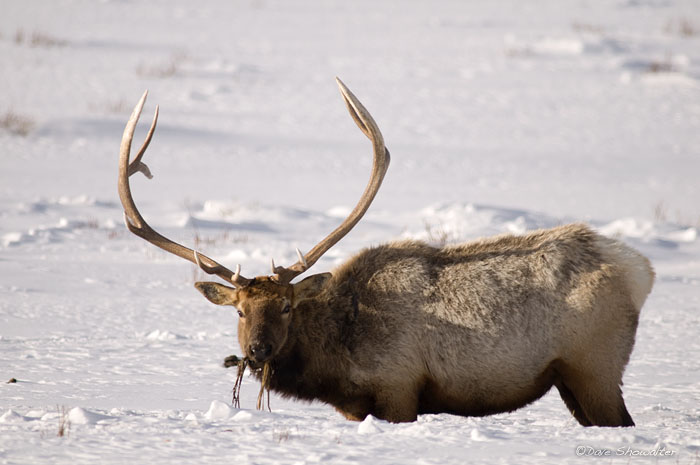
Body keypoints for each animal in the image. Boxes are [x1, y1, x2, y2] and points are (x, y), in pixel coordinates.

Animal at [117, 78, 652, 426]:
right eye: (239, 310)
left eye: (288, 306)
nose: (258, 351)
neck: (335, 362)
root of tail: (639, 270)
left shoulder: (399, 390)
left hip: (596, 367)